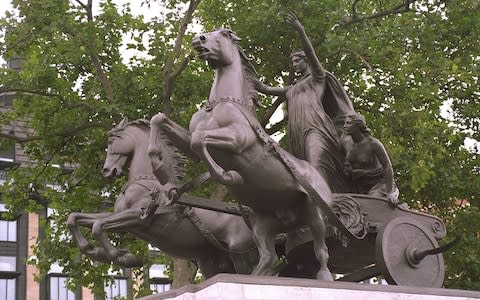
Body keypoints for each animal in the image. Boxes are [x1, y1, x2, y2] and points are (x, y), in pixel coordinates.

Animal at [150, 29, 338, 280]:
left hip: (315, 214)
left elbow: (201, 139)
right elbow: (160, 120)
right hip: (261, 223)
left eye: (221, 34)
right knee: (267, 257)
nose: (199, 39)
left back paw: (324, 276)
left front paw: (228, 175)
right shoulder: (190, 144)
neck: (222, 103)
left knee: (321, 250)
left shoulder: (237, 139)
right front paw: (161, 171)